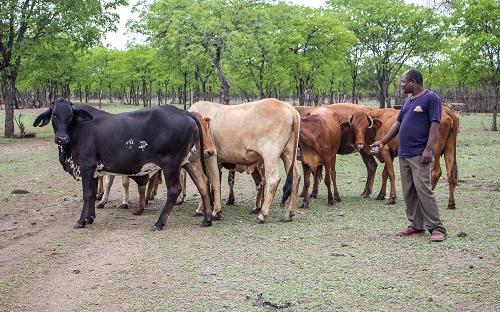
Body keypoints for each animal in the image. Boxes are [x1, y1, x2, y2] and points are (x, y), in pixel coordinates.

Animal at [33, 98, 213, 230]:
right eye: (54, 115)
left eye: (70, 115)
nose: (62, 139)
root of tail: (184, 112)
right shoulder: (94, 171)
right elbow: (93, 194)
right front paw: (90, 218)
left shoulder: (86, 166)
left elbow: (87, 194)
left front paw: (81, 220)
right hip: (191, 160)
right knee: (203, 184)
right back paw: (207, 219)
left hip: (171, 164)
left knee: (175, 190)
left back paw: (159, 223)